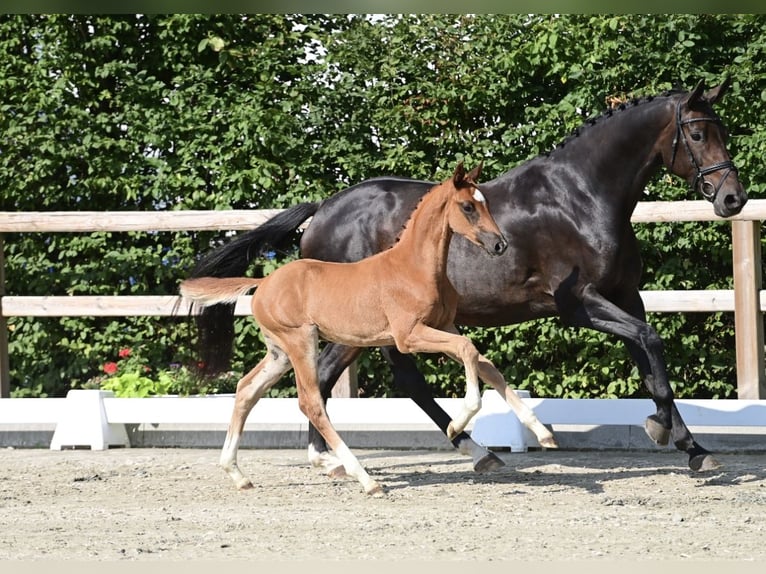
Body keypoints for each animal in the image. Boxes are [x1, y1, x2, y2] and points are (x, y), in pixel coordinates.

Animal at [180, 162, 558, 495]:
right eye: (467, 206)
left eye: (486, 204)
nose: (499, 245)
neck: (414, 266)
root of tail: (263, 282)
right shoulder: (409, 336)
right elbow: (468, 349)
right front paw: (458, 423)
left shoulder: (444, 325)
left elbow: (486, 365)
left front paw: (543, 434)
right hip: (301, 341)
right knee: (311, 402)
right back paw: (365, 479)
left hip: (279, 353)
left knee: (247, 390)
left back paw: (238, 474)